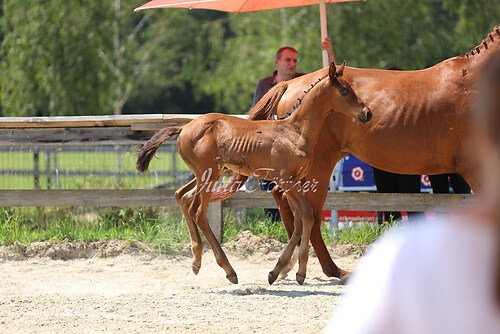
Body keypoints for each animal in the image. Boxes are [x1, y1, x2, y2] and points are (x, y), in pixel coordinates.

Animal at [137, 62, 372, 284]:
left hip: (206, 174)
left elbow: (300, 219)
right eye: (344, 91)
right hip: (208, 175)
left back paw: (197, 260)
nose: (368, 113)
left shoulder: (295, 181)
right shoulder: (286, 180)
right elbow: (306, 214)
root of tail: (184, 128)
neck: (294, 131)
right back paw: (228, 270)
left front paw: (280, 271)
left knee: (181, 196)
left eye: (352, 88)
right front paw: (299, 272)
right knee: (198, 212)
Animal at [215, 24, 500, 280]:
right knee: (309, 214)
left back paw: (290, 266)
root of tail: (291, 83)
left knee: (290, 203)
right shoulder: (476, 168)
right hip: (318, 166)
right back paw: (324, 270)